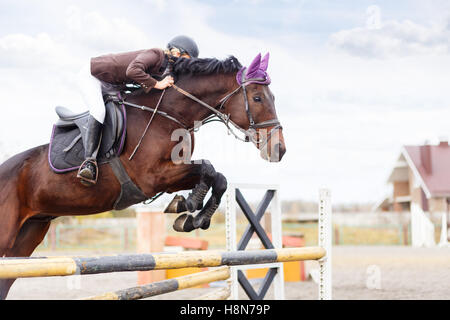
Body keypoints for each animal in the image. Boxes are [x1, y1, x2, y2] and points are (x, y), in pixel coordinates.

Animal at [0, 51, 286, 298]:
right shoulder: (152, 177)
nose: (279, 150)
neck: (169, 114)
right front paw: (189, 205)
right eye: (258, 98)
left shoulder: (169, 177)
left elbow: (218, 177)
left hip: (27, 236)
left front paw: (191, 215)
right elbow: (207, 169)